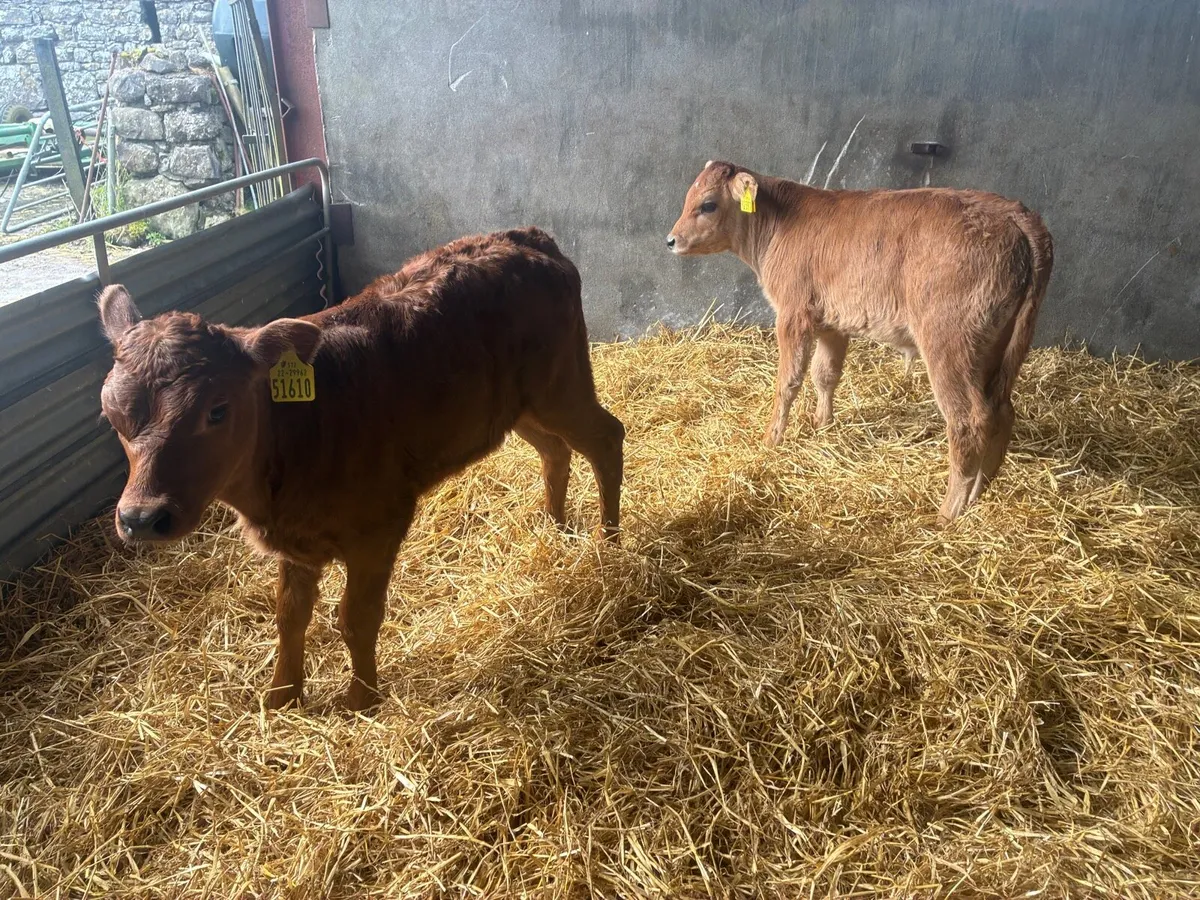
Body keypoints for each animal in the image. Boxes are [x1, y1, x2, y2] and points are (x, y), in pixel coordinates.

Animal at [97, 227, 625, 711]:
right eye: (111, 414)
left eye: (217, 410)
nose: (141, 518)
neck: (301, 427)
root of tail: (527, 237)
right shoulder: (296, 537)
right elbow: (289, 617)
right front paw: (281, 696)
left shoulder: (379, 526)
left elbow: (357, 618)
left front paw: (360, 699)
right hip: (518, 408)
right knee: (555, 452)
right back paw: (554, 527)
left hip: (561, 384)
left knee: (607, 439)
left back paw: (610, 542)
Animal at [667, 161, 1054, 524]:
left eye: (708, 204)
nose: (671, 240)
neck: (777, 225)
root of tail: (1016, 215)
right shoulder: (831, 322)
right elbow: (825, 375)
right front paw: (822, 425)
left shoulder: (793, 313)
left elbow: (788, 382)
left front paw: (771, 438)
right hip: (995, 348)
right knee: (1001, 413)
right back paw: (976, 495)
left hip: (949, 342)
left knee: (969, 421)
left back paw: (948, 512)